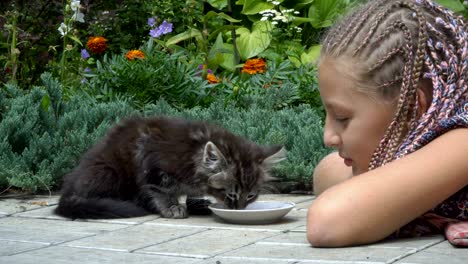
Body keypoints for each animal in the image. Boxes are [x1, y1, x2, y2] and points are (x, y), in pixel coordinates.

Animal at [54, 115, 286, 219]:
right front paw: (172, 207)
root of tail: (67, 192)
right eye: (231, 193)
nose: (239, 209)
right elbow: (160, 191)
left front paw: (195, 203)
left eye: (251, 196)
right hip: (109, 172)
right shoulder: (153, 165)